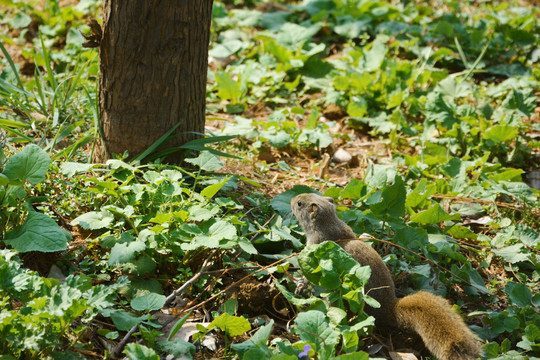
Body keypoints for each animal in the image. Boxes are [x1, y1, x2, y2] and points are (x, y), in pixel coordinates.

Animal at [292, 194, 480, 360]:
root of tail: (388, 307)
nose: (292, 199)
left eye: (300, 203)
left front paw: (300, 283)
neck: (329, 225)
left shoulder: (316, 248)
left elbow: (310, 273)